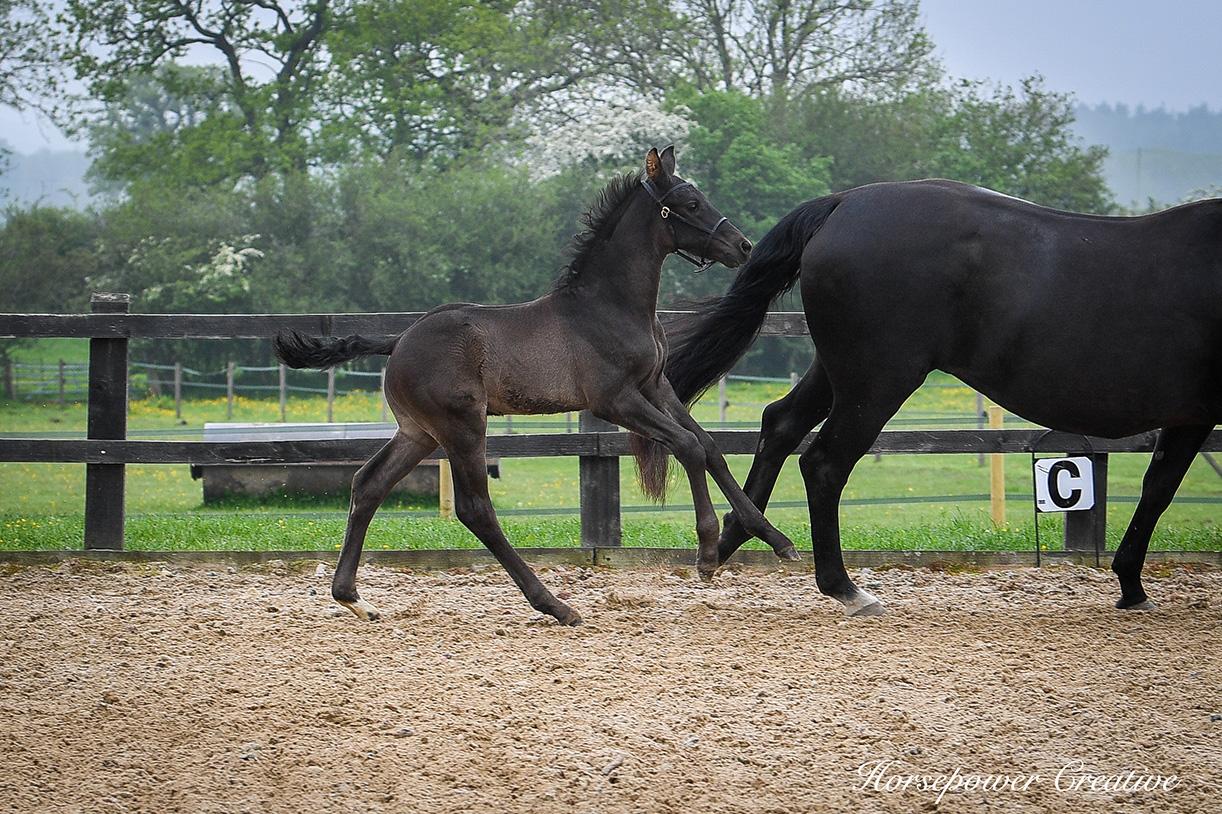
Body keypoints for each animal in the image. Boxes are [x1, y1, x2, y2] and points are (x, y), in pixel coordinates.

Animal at [272, 149, 796, 623]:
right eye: (690, 203)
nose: (744, 246)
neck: (611, 305)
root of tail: (398, 340)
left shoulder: (656, 387)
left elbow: (709, 447)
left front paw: (777, 540)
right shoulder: (615, 400)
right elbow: (687, 446)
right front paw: (707, 549)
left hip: (419, 432)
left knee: (368, 483)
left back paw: (351, 597)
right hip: (462, 425)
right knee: (475, 509)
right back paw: (555, 605)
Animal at [669, 176, 1222, 608]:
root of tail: (845, 202)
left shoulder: (1188, 416)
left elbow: (1158, 486)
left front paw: (1130, 583)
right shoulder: (1197, 414)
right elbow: (1160, 489)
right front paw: (1131, 583)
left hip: (839, 372)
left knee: (779, 424)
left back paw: (734, 539)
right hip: (875, 383)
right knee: (823, 464)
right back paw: (843, 587)